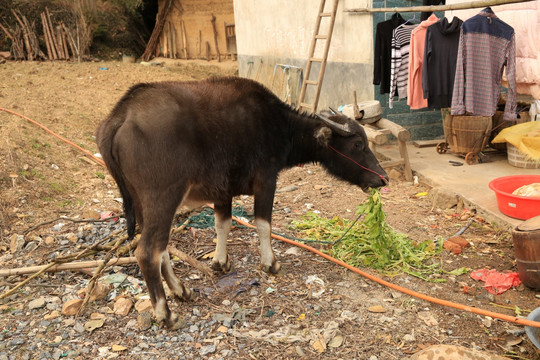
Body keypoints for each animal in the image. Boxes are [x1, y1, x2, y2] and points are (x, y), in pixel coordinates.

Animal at [94, 76, 388, 330]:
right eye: (358, 144)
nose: (382, 178)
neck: (280, 126)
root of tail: (121, 115)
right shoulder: (266, 179)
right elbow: (263, 224)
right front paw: (270, 263)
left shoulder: (223, 191)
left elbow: (222, 224)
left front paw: (220, 262)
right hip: (163, 198)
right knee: (148, 252)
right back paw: (166, 314)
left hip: (142, 203)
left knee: (161, 248)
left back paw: (182, 290)